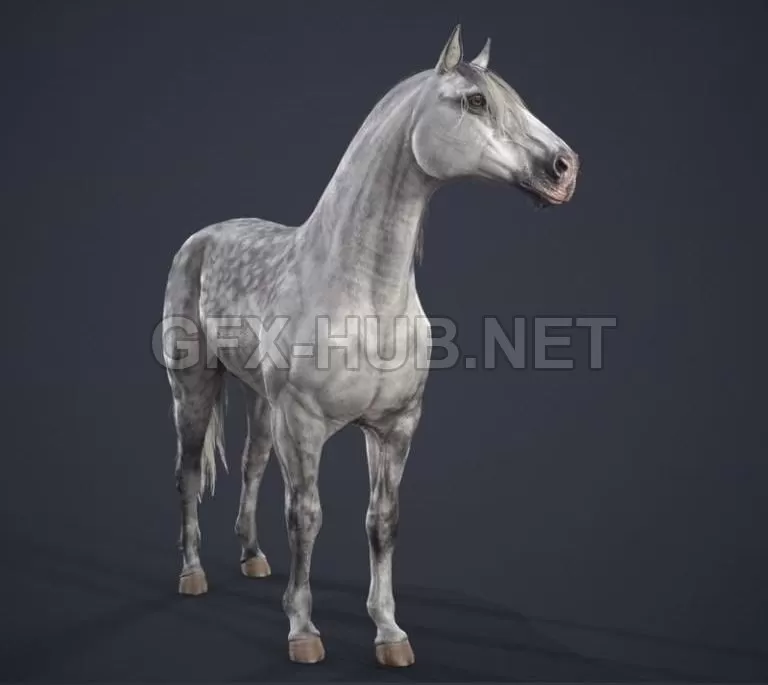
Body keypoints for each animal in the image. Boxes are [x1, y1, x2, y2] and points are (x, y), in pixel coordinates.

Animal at [161, 24, 579, 667]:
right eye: (476, 101)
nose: (564, 167)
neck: (366, 297)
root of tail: (200, 239)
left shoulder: (395, 426)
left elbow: (382, 522)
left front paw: (389, 633)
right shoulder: (305, 426)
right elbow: (306, 517)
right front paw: (302, 630)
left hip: (260, 401)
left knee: (252, 466)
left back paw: (253, 559)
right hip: (194, 387)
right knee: (187, 473)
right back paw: (192, 575)